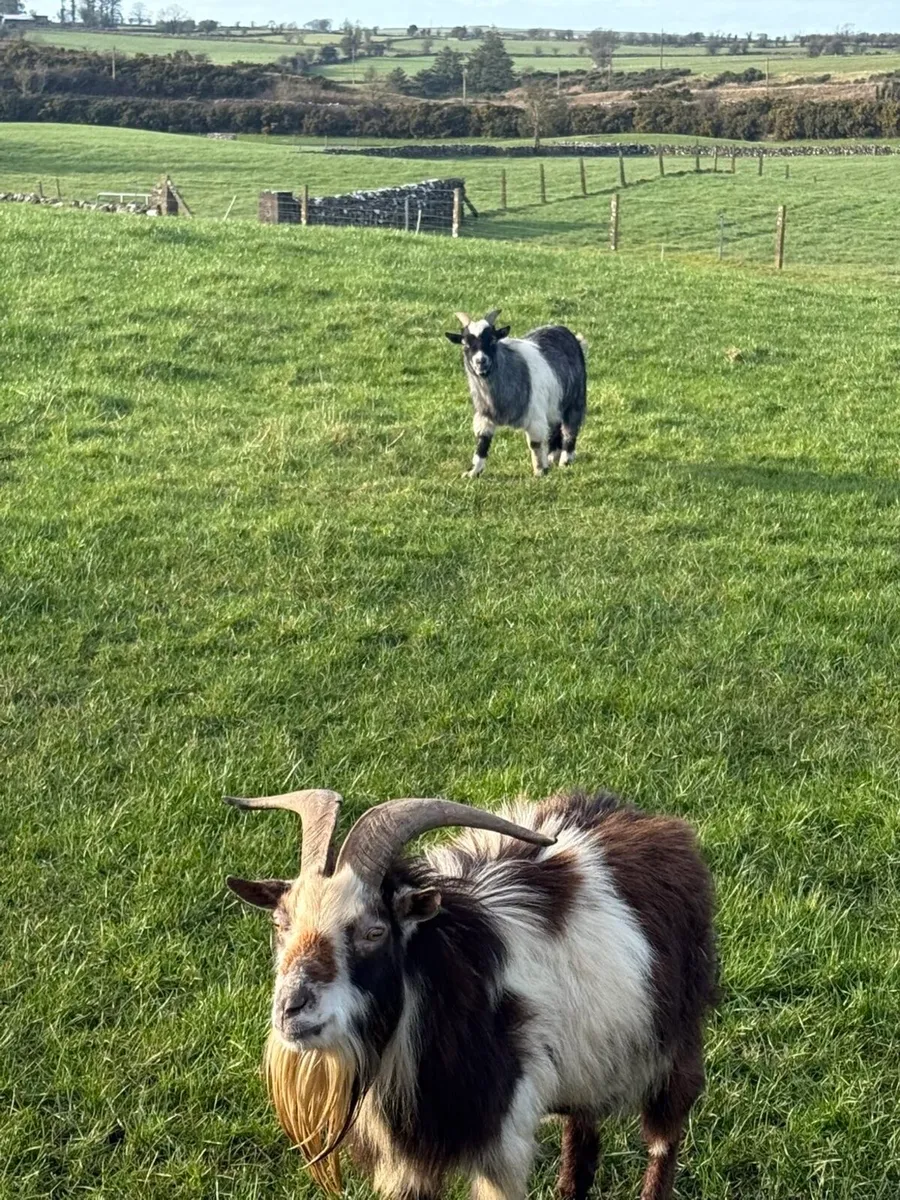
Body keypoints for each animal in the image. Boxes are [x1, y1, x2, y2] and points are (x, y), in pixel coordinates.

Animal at [225, 789, 717, 1200]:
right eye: (280, 923)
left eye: (374, 931)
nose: (291, 1009)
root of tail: (657, 825)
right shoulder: (408, 1165)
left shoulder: (501, 1149)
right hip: (591, 1062)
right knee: (581, 1140)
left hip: (675, 1041)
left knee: (663, 1138)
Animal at [445, 309, 587, 478]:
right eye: (465, 344)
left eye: (492, 340)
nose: (481, 361)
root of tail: (562, 329)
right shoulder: (484, 416)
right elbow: (482, 442)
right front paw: (474, 472)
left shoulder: (535, 416)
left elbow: (535, 444)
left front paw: (540, 471)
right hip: (554, 404)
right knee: (555, 427)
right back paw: (552, 457)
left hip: (575, 401)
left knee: (569, 430)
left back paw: (565, 461)